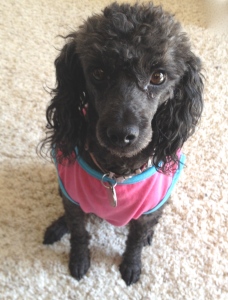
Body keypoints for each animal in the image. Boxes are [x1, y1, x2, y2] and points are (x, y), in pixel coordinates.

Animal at [41, 1, 204, 286]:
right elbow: (79, 232)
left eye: (158, 76)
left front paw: (131, 264)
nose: (121, 134)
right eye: (98, 72)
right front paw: (79, 260)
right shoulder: (72, 201)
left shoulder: (148, 211)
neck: (115, 173)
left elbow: (136, 240)